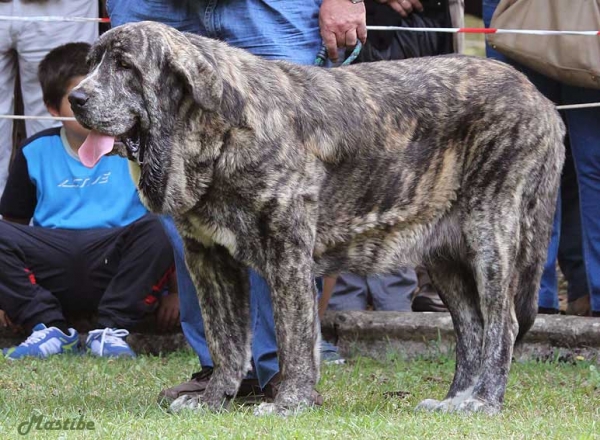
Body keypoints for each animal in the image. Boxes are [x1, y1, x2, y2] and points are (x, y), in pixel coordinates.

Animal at [71, 19, 568, 412]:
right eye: (93, 63)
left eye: (125, 67)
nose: (76, 98)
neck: (214, 134)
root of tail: (542, 99)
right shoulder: (209, 259)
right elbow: (226, 342)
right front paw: (212, 400)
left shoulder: (288, 251)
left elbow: (293, 335)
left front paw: (288, 402)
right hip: (445, 255)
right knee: (473, 327)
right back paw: (457, 400)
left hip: (490, 234)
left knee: (502, 323)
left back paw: (484, 402)